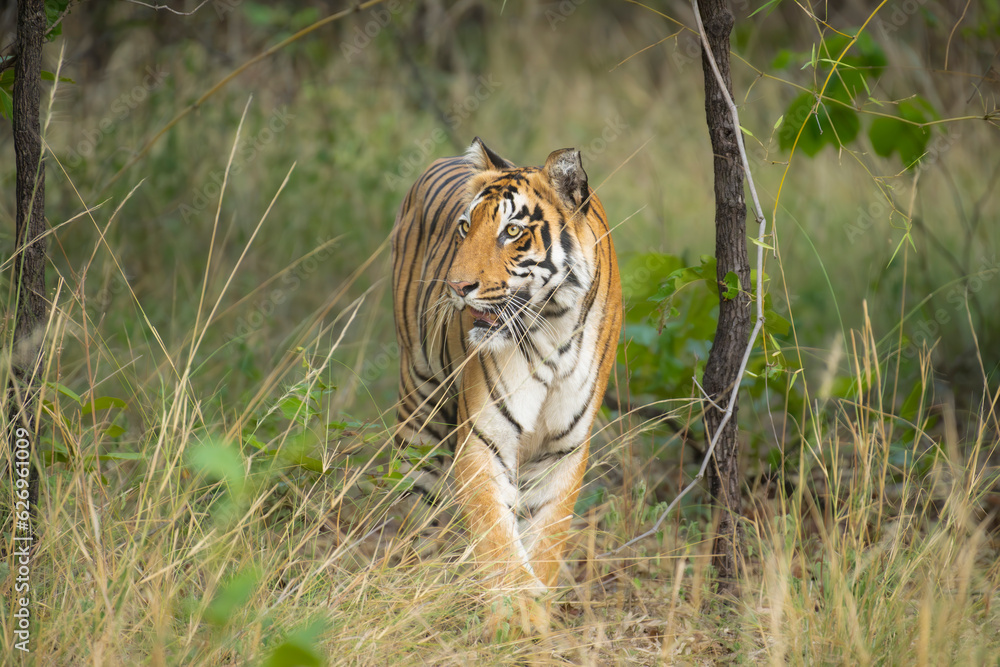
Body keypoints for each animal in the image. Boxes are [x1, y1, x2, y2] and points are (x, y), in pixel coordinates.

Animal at [390, 137, 622, 593]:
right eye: (465, 227)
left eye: (512, 231)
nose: (456, 286)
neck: (553, 329)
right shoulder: (485, 439)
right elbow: (500, 549)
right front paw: (516, 605)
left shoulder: (564, 451)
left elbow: (545, 547)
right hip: (419, 402)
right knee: (417, 511)